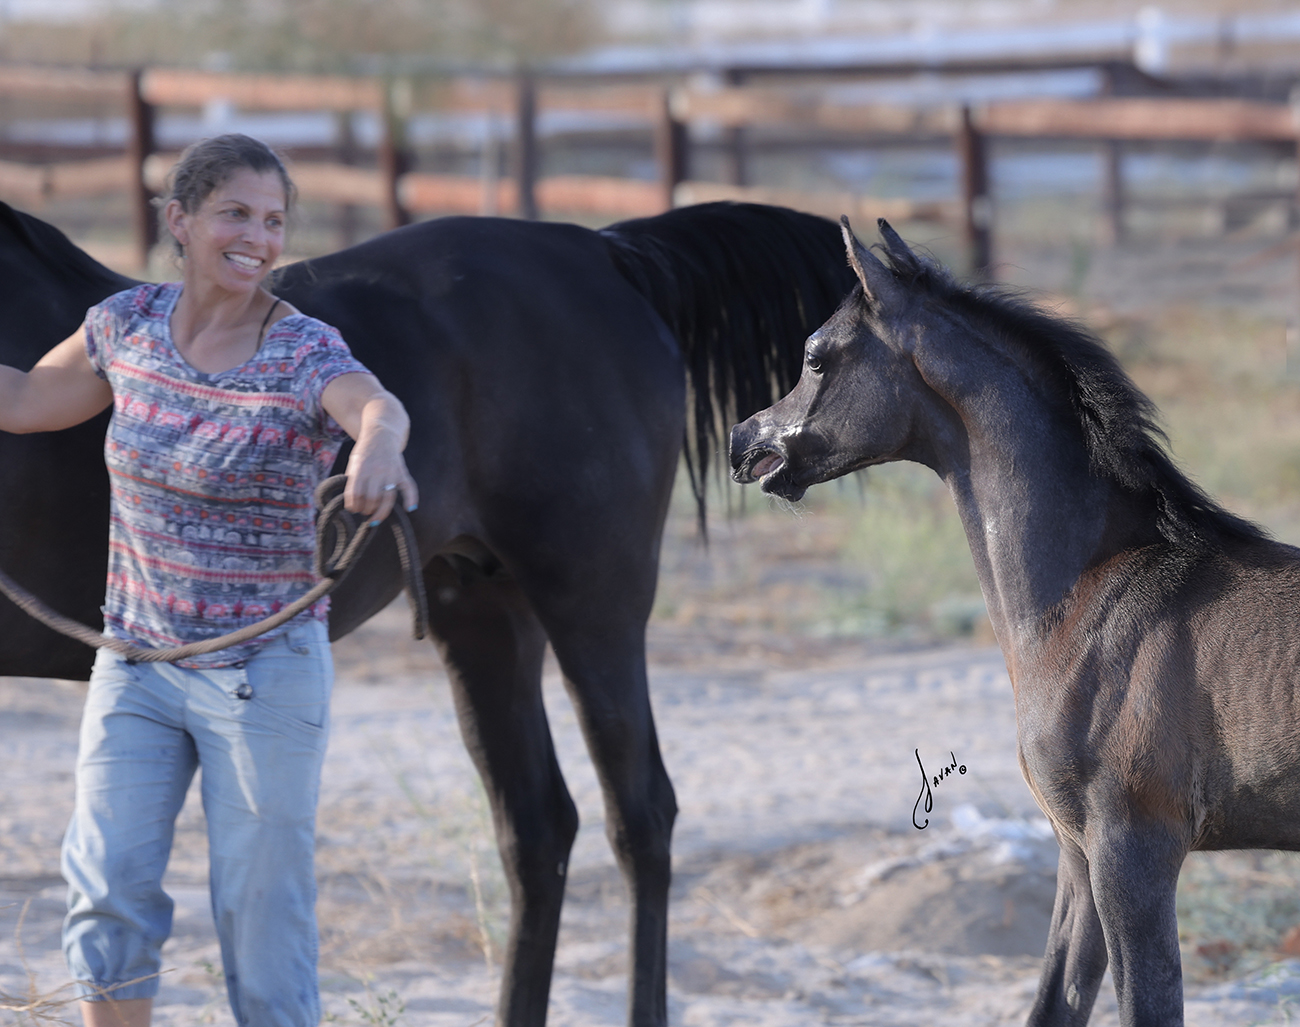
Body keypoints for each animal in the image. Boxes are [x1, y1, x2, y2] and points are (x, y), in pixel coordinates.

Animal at [733, 219, 1300, 1027]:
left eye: (816, 355)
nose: (746, 444)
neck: (1086, 598)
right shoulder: (1077, 852)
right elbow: (1053, 1002)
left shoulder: (1134, 849)